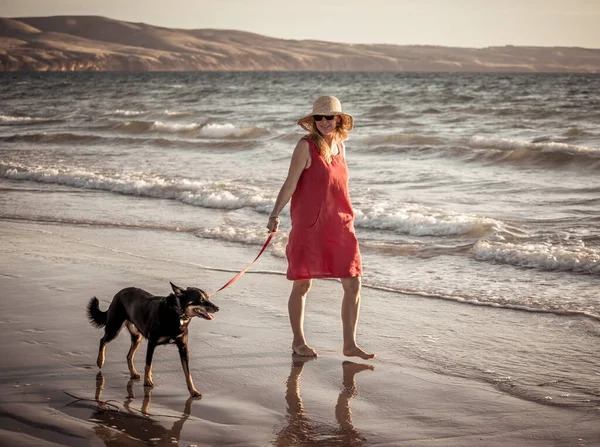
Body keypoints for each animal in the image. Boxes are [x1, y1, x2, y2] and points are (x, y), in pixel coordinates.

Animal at [85, 284, 219, 400]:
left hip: (136, 337)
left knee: (128, 355)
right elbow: (148, 364)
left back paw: (133, 372)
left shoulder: (183, 348)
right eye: (201, 299)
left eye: (207, 298)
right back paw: (100, 360)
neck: (177, 313)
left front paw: (193, 390)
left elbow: (188, 373)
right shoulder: (152, 343)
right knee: (103, 340)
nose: (217, 308)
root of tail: (119, 293)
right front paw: (148, 381)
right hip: (114, 328)